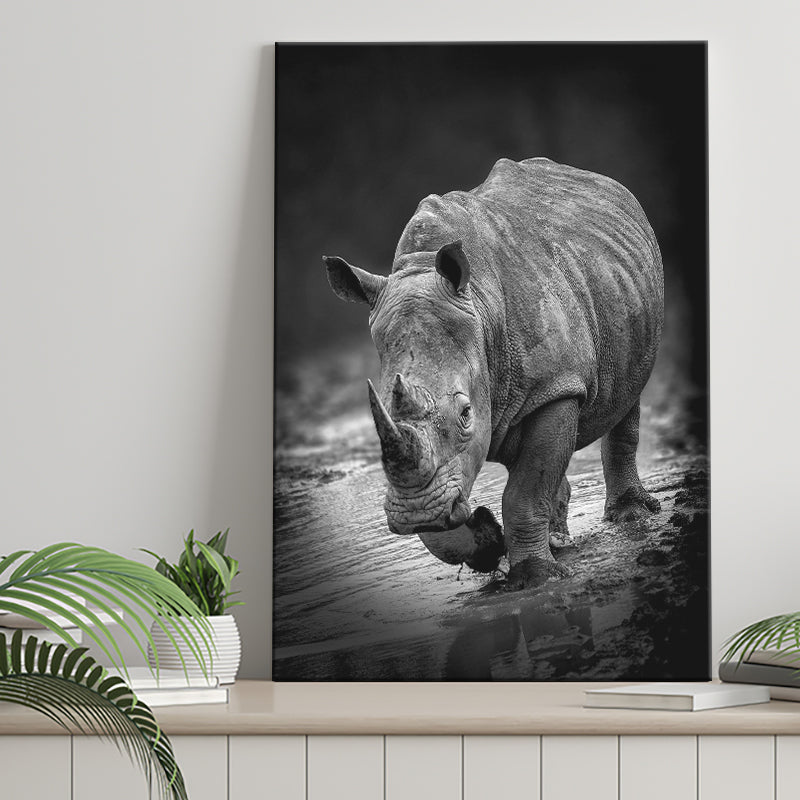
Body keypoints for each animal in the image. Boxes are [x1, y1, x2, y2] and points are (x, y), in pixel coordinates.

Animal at [324, 157, 663, 587]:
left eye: (466, 414)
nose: (416, 513)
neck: (482, 314)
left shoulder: (555, 388)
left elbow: (525, 492)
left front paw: (537, 577)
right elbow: (449, 513)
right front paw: (487, 540)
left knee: (627, 395)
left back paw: (630, 517)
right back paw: (557, 539)